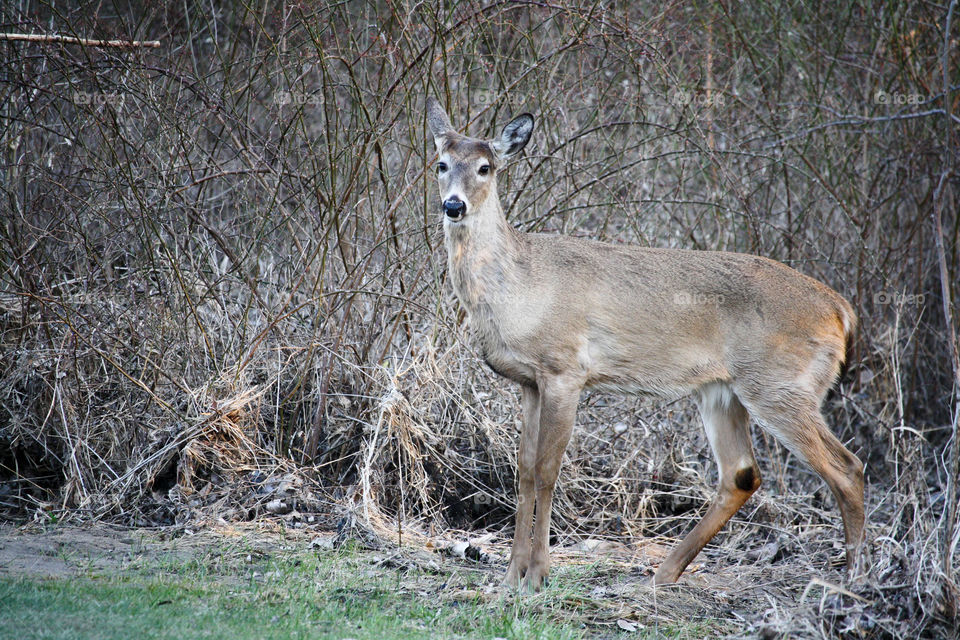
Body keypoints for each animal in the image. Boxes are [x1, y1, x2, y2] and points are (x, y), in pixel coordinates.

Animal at [424, 97, 868, 592]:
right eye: (441, 163)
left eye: (486, 167)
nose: (453, 205)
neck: (519, 286)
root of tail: (839, 309)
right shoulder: (529, 382)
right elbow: (522, 470)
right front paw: (510, 576)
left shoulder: (565, 370)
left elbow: (546, 471)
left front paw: (537, 575)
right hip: (722, 391)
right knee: (741, 474)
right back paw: (664, 573)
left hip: (780, 385)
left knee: (847, 467)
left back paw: (854, 578)